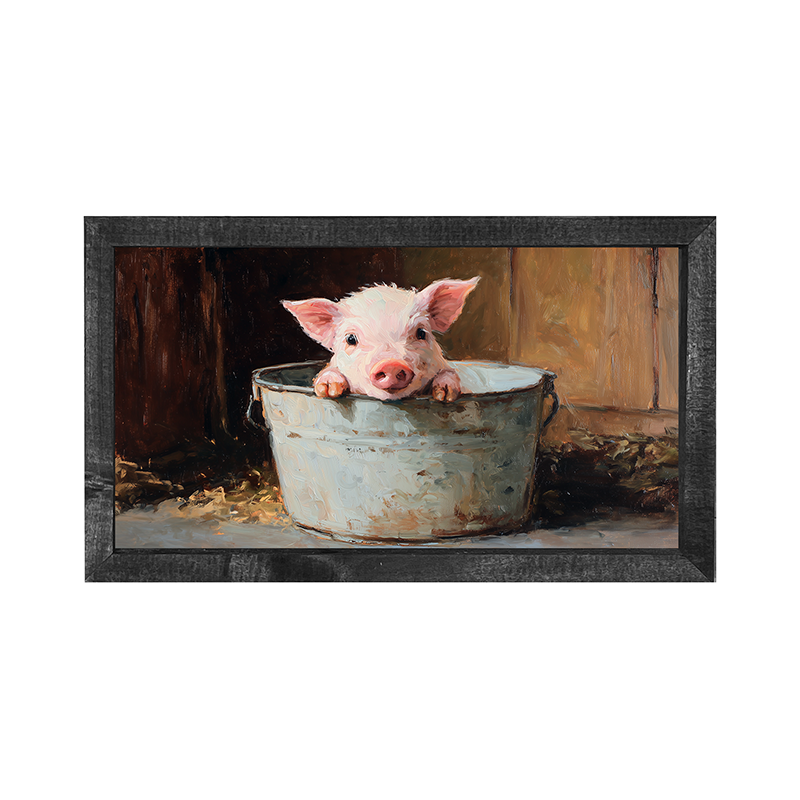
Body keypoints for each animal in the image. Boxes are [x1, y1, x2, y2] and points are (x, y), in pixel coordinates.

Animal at [281, 277, 480, 402]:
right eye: (351, 339)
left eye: (421, 333)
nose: (391, 364)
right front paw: (329, 389)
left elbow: (448, 374)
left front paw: (444, 394)